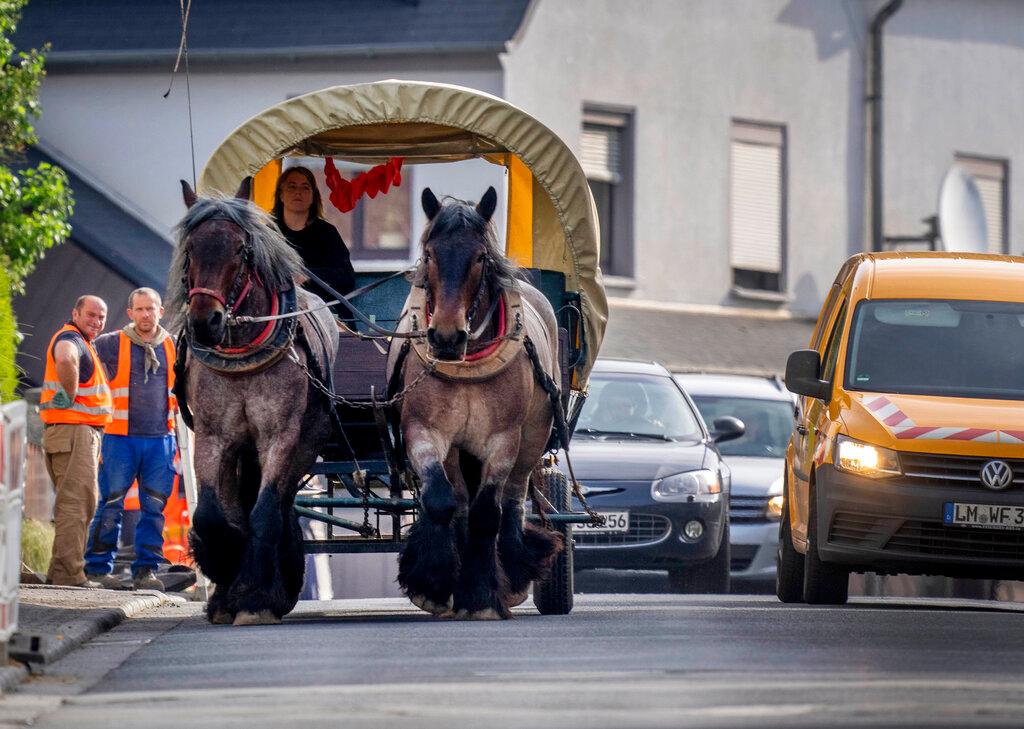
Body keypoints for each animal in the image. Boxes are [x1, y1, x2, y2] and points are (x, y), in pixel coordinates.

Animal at [171, 179, 339, 622]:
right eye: (191, 248)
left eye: (240, 250)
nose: (205, 322)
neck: (244, 354)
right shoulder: (212, 436)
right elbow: (212, 515)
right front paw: (224, 574)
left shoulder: (280, 436)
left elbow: (263, 511)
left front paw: (255, 597)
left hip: (304, 444)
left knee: (279, 504)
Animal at [391, 185, 569, 618]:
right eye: (429, 254)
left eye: (480, 257)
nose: (445, 336)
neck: (467, 360)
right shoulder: (424, 431)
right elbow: (442, 501)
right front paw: (434, 581)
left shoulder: (503, 440)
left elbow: (489, 512)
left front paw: (481, 595)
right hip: (458, 449)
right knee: (459, 499)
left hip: (533, 438)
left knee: (513, 500)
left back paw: (514, 570)